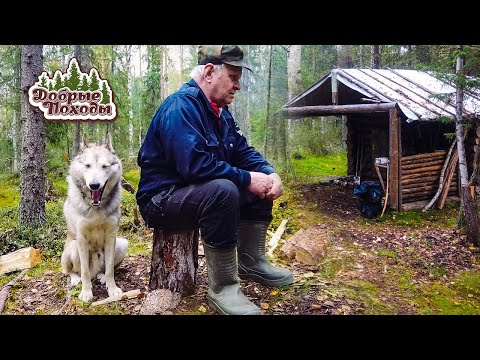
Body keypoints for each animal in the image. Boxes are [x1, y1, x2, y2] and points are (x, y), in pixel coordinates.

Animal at [62, 136, 129, 302]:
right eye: (88, 166)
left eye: (105, 166)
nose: (94, 185)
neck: (96, 208)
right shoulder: (81, 239)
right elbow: (85, 271)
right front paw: (86, 292)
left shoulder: (111, 236)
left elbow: (110, 268)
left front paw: (112, 289)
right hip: (73, 247)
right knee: (69, 271)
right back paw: (75, 279)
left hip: (122, 244)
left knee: (104, 269)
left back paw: (101, 276)